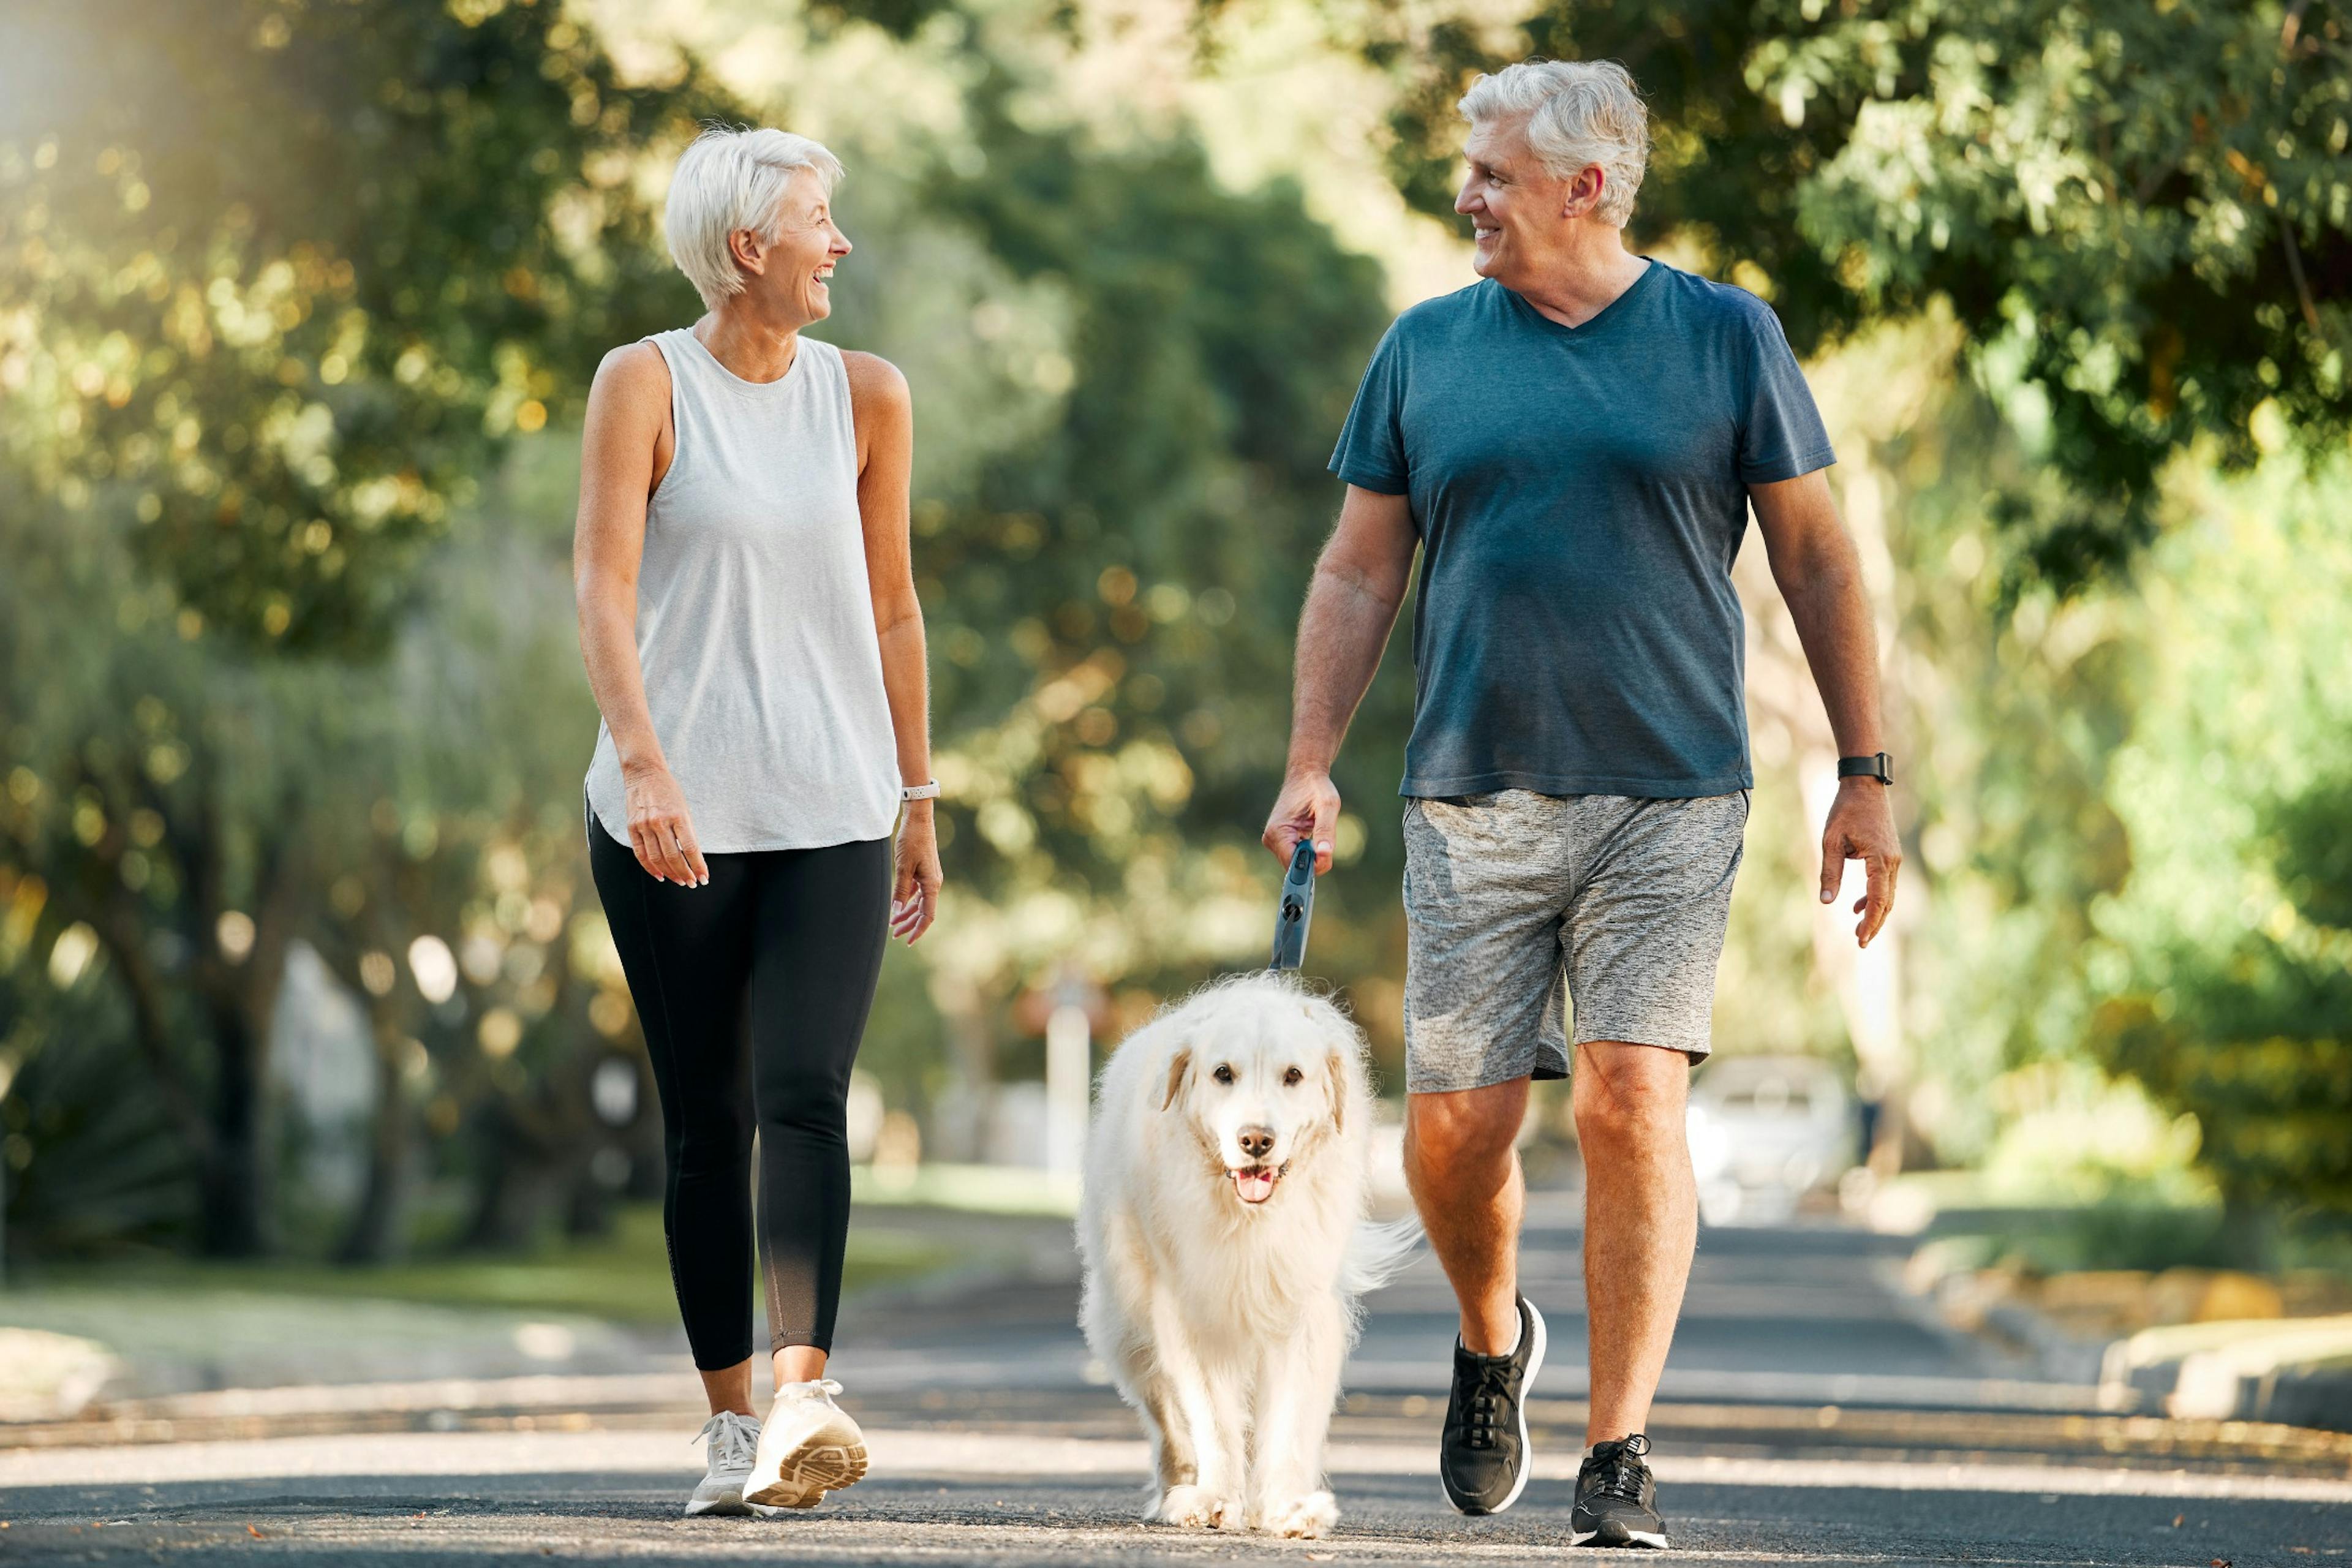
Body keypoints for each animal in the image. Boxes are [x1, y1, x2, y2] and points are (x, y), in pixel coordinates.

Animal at [1077, 973, 1401, 1542]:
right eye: (1222, 1074)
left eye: (1293, 1075)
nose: (1256, 1140)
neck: (1249, 1219)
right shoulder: (1190, 1313)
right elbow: (1211, 1417)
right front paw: (1215, 1500)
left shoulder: (1303, 1312)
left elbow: (1292, 1419)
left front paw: (1290, 1507)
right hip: (1126, 1325)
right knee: (1168, 1417)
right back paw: (1179, 1487)